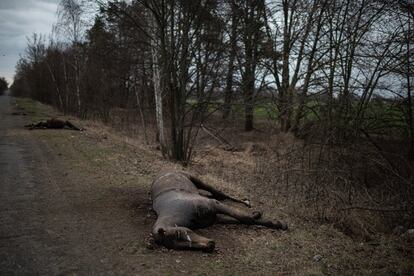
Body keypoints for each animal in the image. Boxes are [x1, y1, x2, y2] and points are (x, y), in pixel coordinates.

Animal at [151, 171, 288, 253]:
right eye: (180, 246)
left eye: (183, 234)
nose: (210, 245)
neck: (178, 210)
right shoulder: (216, 218)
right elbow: (240, 219)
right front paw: (265, 220)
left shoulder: (214, 205)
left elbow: (244, 218)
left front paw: (279, 224)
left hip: (201, 183)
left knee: (221, 195)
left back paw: (247, 202)